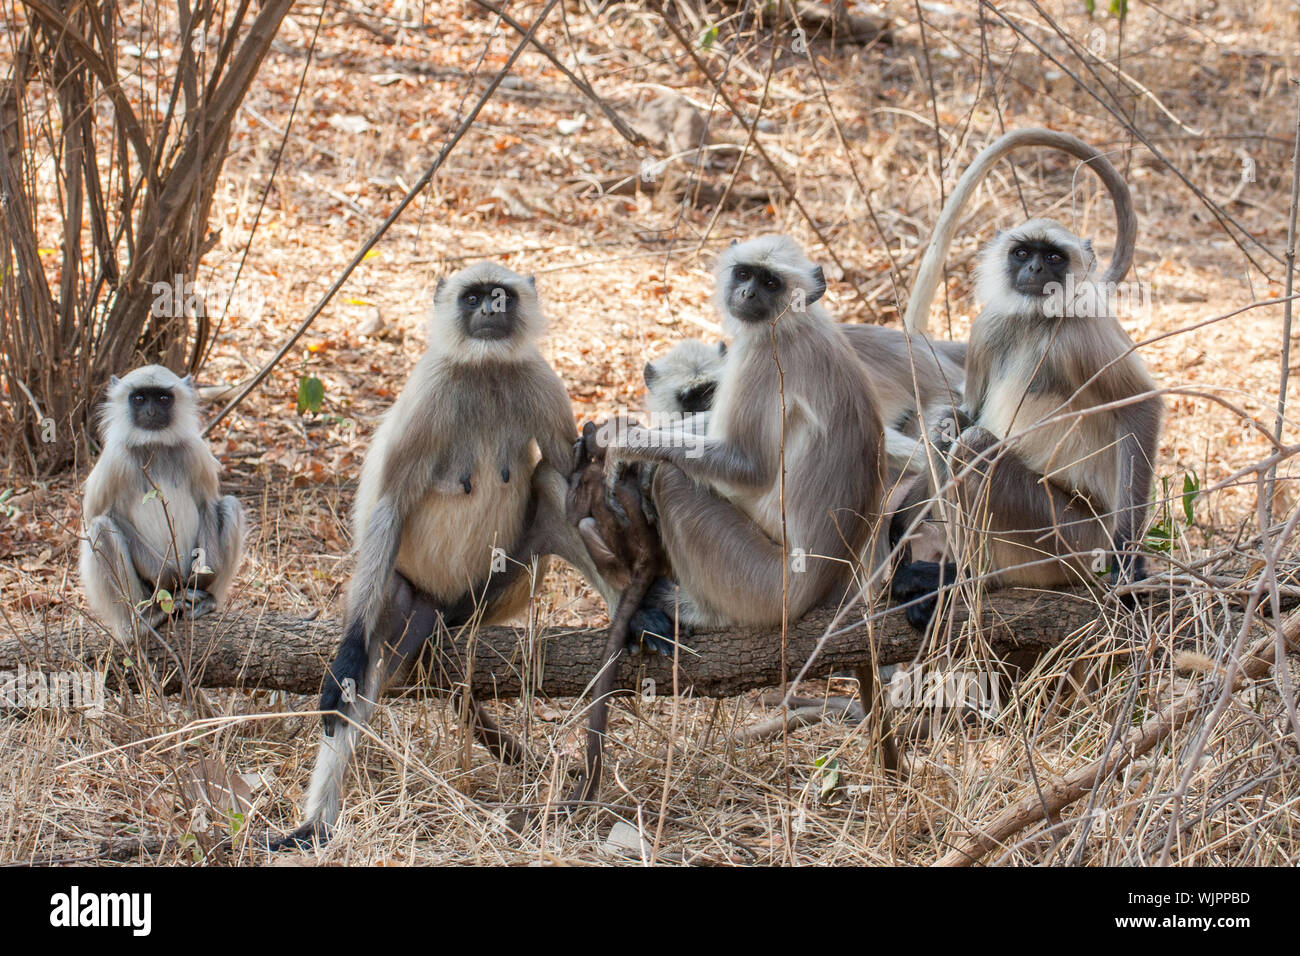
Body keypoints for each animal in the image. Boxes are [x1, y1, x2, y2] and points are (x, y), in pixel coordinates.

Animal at [80, 365, 246, 640]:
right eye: (139, 398)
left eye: (162, 398)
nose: (151, 412)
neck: (154, 444)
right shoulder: (114, 460)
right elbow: (98, 516)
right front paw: (169, 576)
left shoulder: (195, 452)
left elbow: (208, 503)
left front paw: (199, 577)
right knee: (101, 527)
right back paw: (144, 620)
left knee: (230, 505)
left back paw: (207, 600)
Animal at [275, 263, 612, 848]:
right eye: (473, 297)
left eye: (502, 295)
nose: (492, 308)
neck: (484, 371)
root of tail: (445, 609)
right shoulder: (430, 389)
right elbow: (388, 504)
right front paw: (345, 660)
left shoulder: (541, 382)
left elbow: (572, 475)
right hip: (406, 597)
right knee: (367, 659)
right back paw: (316, 825)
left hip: (495, 591)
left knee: (551, 483)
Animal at [891, 128, 1164, 630]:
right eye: (1022, 253)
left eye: (1053, 257)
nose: (1035, 269)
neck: (1035, 320)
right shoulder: (988, 326)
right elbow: (963, 412)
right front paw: (900, 529)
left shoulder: (1084, 326)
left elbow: (1140, 405)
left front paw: (1128, 562)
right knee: (951, 431)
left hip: (1069, 540)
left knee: (974, 447)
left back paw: (970, 580)